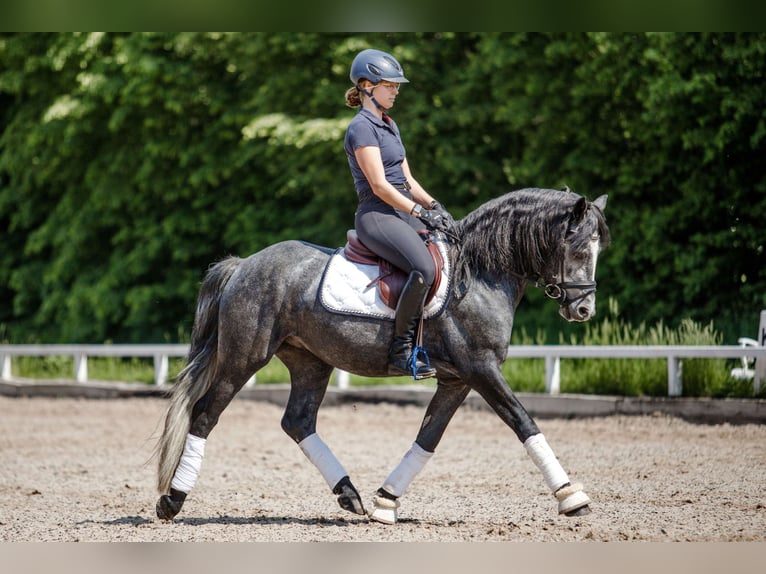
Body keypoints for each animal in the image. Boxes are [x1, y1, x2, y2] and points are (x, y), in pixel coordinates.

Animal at [154, 189, 612, 528]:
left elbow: (428, 438)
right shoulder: (481, 368)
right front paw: (572, 497)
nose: (584, 310)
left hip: (310, 361)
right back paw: (172, 501)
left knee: (298, 421)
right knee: (205, 414)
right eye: (575, 248)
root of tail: (244, 264)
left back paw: (350, 496)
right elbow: (523, 422)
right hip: (244, 357)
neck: (479, 274)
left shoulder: (458, 379)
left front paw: (386, 502)